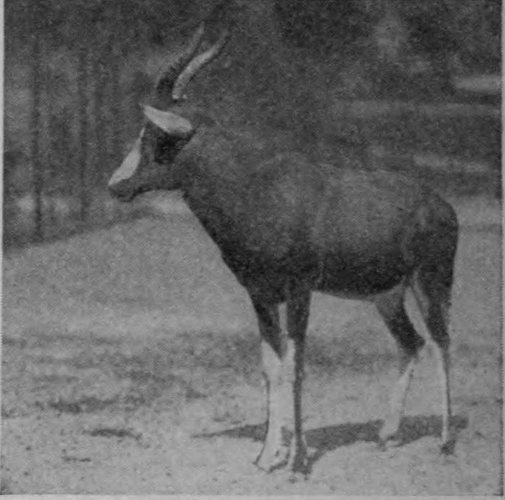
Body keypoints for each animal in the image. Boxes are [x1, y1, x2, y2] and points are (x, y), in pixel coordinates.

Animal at [108, 22, 459, 473]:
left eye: (157, 135)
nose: (117, 185)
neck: (257, 189)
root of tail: (441, 205)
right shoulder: (260, 295)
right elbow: (271, 366)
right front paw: (266, 456)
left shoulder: (299, 291)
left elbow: (296, 367)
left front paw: (298, 461)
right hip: (387, 297)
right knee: (411, 343)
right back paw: (387, 435)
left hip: (431, 284)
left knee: (442, 344)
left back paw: (446, 442)